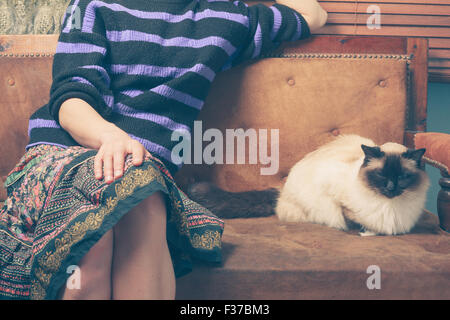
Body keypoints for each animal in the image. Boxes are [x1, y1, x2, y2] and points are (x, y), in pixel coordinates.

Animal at [187, 134, 432, 236]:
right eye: (381, 175)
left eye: (403, 177)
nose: (391, 188)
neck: (389, 206)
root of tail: (282, 191)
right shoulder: (333, 196)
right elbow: (351, 219)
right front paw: (365, 231)